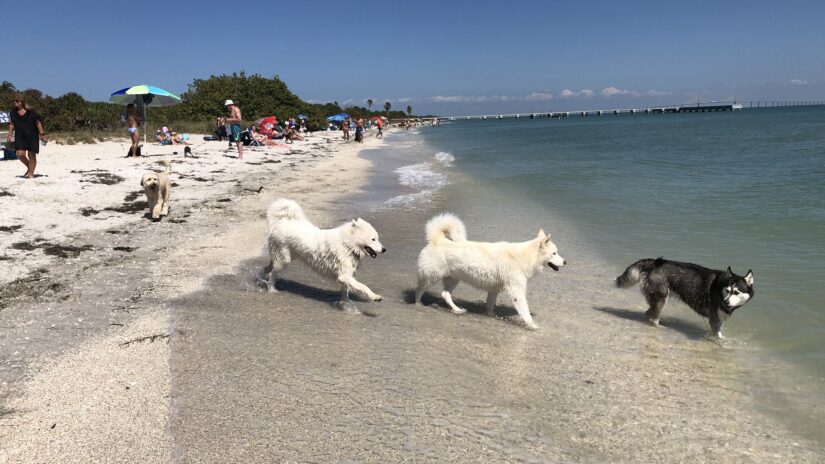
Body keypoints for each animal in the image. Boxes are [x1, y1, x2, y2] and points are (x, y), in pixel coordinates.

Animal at [412, 214, 568, 330]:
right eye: (554, 253)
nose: (565, 262)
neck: (523, 257)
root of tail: (437, 239)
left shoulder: (494, 289)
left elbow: (490, 303)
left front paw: (491, 315)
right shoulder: (516, 291)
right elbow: (524, 310)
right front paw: (532, 325)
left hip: (454, 278)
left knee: (445, 294)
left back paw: (457, 310)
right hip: (432, 276)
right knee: (419, 289)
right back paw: (418, 304)